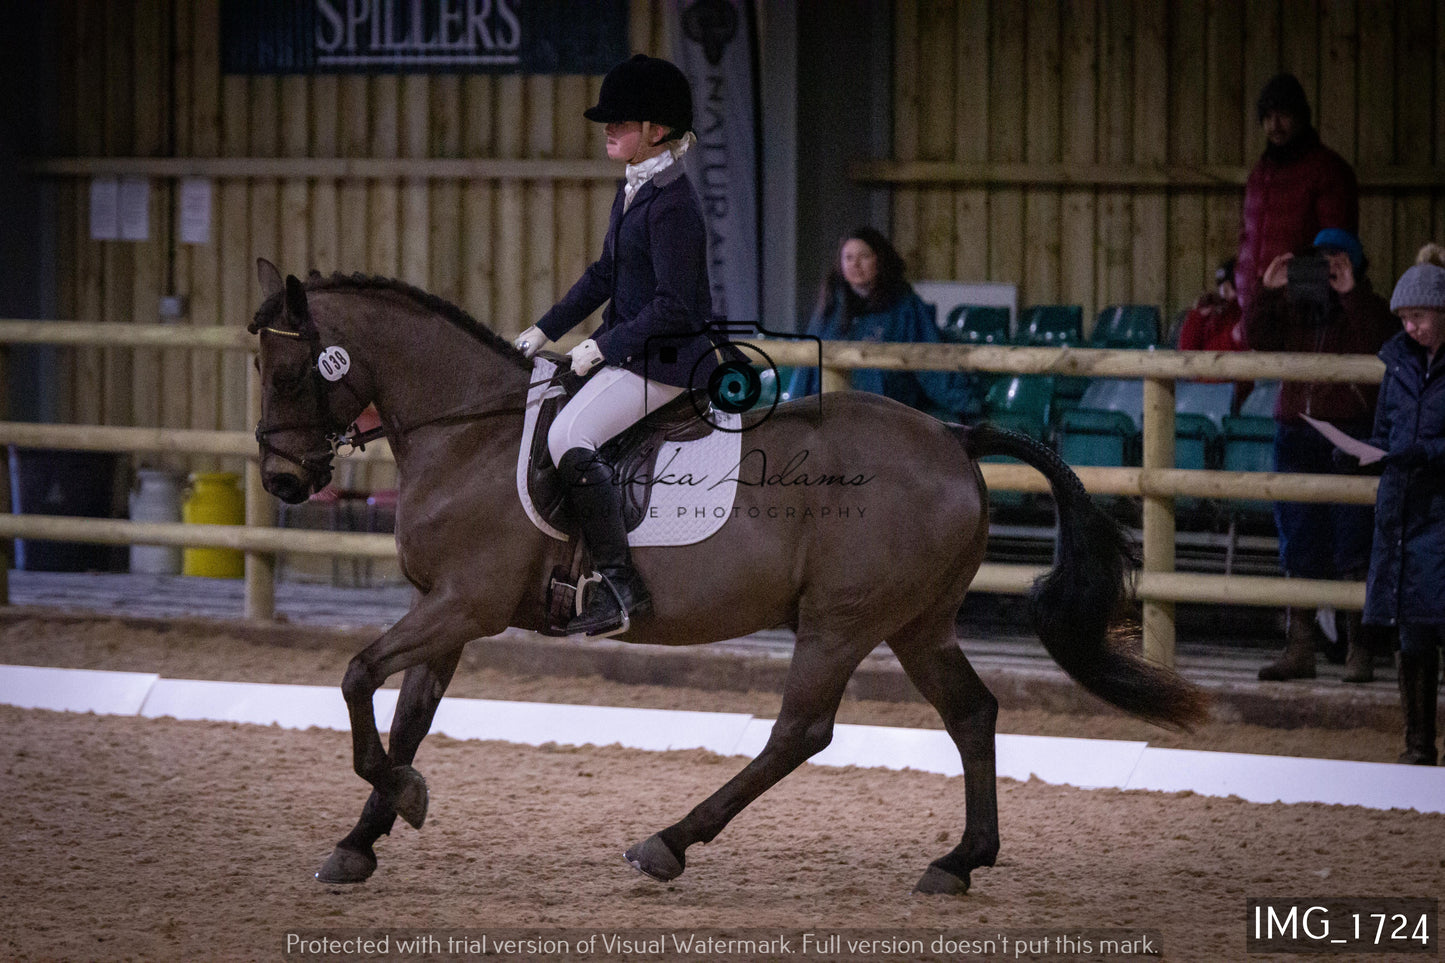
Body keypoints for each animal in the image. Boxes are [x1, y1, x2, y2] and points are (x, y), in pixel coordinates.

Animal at [251, 260, 1208, 890]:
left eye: (289, 367)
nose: (283, 481)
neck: (469, 435)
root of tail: (953, 437)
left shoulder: (463, 605)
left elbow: (356, 677)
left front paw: (400, 799)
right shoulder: (445, 612)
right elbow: (407, 714)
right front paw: (361, 839)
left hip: (840, 621)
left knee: (801, 731)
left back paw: (667, 842)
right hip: (916, 621)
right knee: (970, 712)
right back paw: (958, 860)